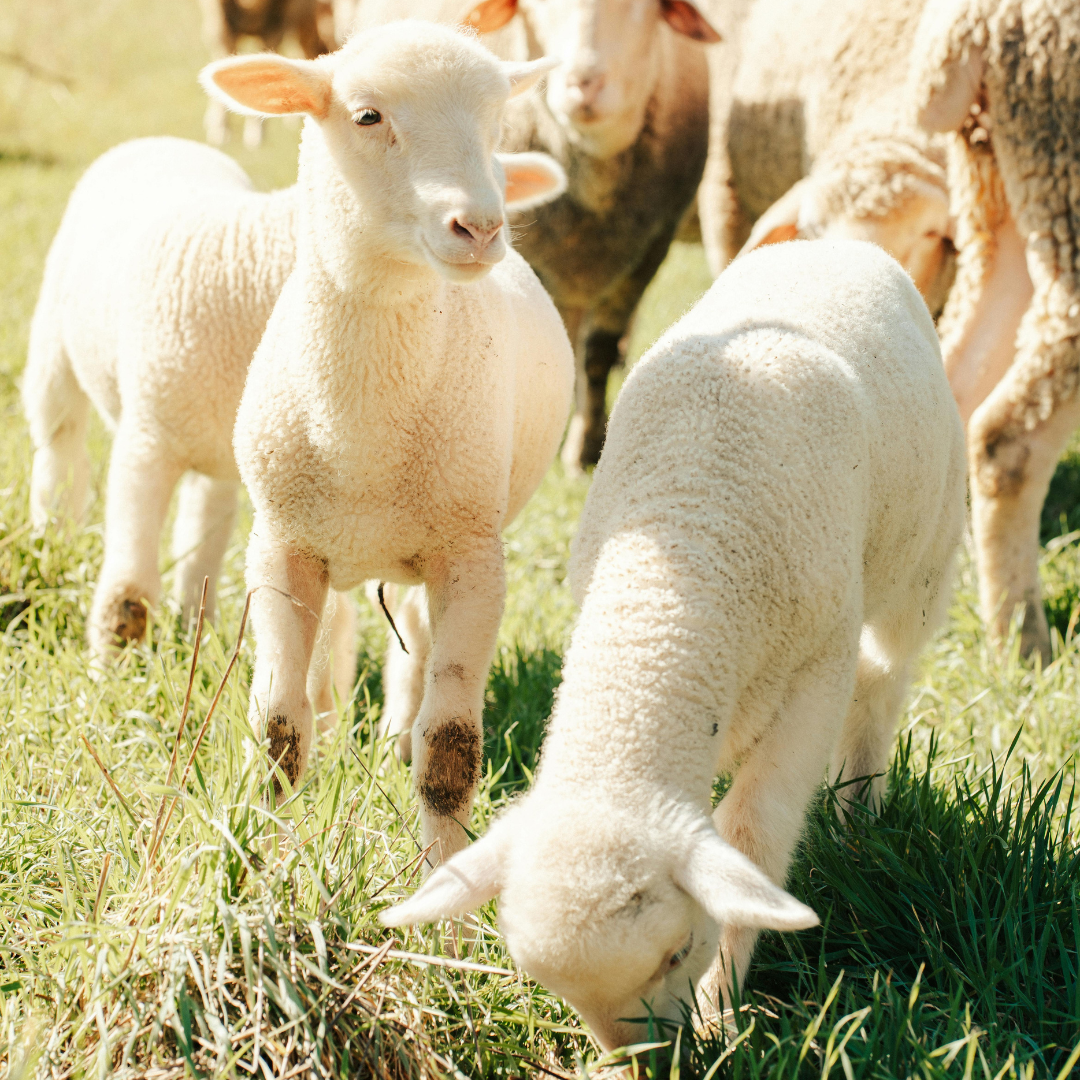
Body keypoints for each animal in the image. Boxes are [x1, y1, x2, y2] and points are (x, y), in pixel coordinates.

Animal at [21, 136, 356, 715]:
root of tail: (161, 141)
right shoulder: (145, 442)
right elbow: (129, 589)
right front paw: (110, 674)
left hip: (218, 446)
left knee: (204, 525)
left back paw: (195, 624)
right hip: (56, 350)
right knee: (59, 455)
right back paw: (51, 538)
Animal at [198, 0, 335, 148]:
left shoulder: (281, 13)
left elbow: (267, 46)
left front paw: (256, 134)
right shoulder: (219, 11)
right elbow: (225, 46)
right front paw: (220, 131)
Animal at [200, 20, 574, 858]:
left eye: (498, 122)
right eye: (368, 116)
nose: (481, 226)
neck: (362, 429)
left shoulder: (471, 556)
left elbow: (451, 745)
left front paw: (442, 878)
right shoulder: (280, 547)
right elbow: (278, 728)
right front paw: (263, 856)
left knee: (415, 637)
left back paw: (394, 732)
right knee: (336, 639)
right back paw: (339, 718)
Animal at [382, 238, 967, 1049]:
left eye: (676, 951)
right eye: (551, 989)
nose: (646, 1059)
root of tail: (834, 239)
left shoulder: (817, 670)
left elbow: (754, 837)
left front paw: (723, 1009)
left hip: (922, 565)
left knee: (882, 688)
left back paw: (859, 816)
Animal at [909, 0, 1080, 665]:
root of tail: (973, 22)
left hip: (998, 190)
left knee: (956, 386)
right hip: (1058, 173)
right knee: (1005, 438)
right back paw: (1023, 641)